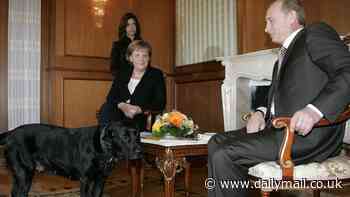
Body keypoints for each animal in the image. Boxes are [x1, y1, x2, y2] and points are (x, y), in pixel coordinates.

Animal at [0, 121, 142, 196]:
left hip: (21, 175)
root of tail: (11, 133)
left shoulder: (101, 180)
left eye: (137, 135)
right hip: (25, 174)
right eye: (125, 136)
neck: (102, 147)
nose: (140, 151)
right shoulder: (85, 180)